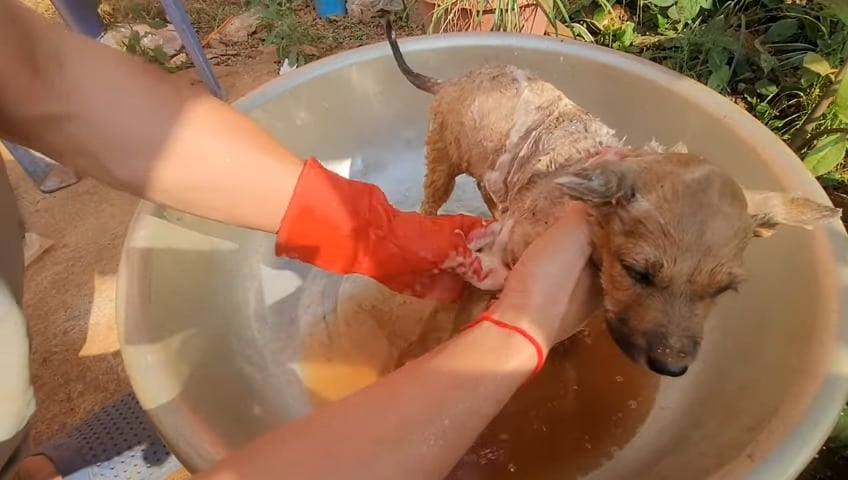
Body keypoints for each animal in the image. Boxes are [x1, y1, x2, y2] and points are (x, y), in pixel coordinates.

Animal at [386, 20, 840, 376]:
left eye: (722, 291)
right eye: (636, 272)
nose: (671, 366)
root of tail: (452, 80)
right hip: (442, 160)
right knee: (431, 203)